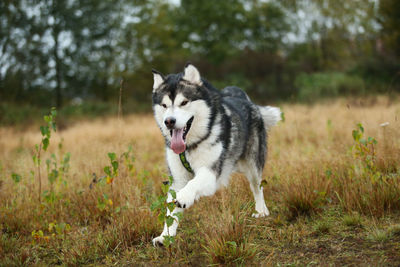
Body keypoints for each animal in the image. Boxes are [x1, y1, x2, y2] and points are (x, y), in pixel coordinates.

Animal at [152, 63, 280, 247]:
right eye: (164, 105)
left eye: (184, 102)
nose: (169, 121)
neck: (190, 146)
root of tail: (243, 97)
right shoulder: (177, 179)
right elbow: (171, 211)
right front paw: (165, 236)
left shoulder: (210, 173)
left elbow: (192, 183)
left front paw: (185, 196)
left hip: (252, 164)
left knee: (257, 186)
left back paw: (261, 210)